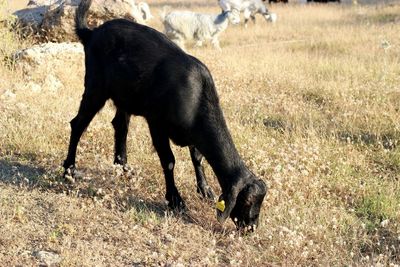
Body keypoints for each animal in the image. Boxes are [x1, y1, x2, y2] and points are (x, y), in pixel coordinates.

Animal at [63, 0, 268, 231]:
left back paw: (123, 167)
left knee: (120, 125)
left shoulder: (193, 132)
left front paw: (205, 189)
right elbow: (169, 161)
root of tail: (91, 32)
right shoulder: (156, 124)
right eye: (247, 201)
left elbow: (197, 157)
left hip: (125, 96)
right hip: (95, 88)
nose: (252, 227)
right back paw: (69, 170)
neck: (197, 95)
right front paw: (175, 200)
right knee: (78, 124)